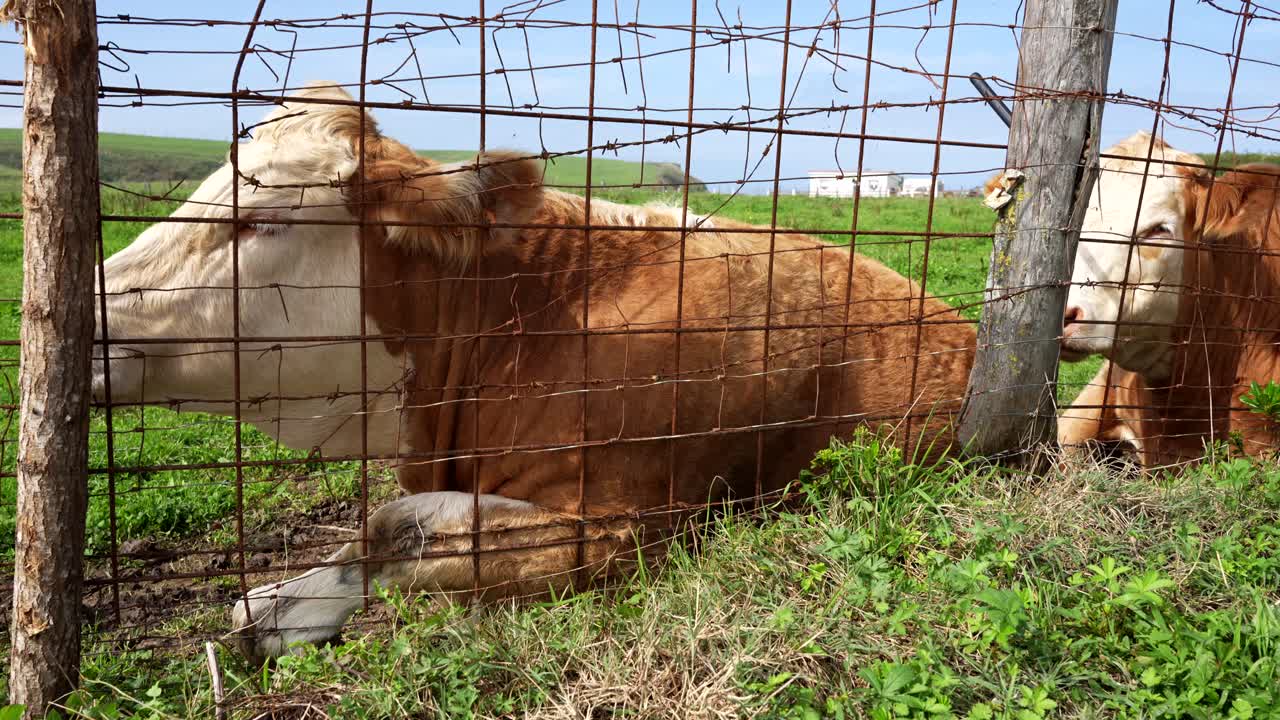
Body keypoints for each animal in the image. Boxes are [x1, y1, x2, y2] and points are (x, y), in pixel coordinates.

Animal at [91, 82, 976, 660]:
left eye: (264, 218)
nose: (87, 313)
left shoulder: (622, 527)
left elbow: (395, 527)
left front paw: (284, 609)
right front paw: (276, 601)